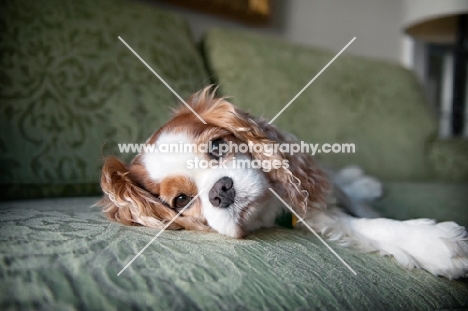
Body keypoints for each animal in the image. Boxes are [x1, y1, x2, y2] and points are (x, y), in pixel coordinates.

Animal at [97, 86, 466, 280]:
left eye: (218, 146)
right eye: (181, 201)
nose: (221, 191)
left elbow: (356, 209)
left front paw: (430, 240)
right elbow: (365, 226)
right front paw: (436, 244)